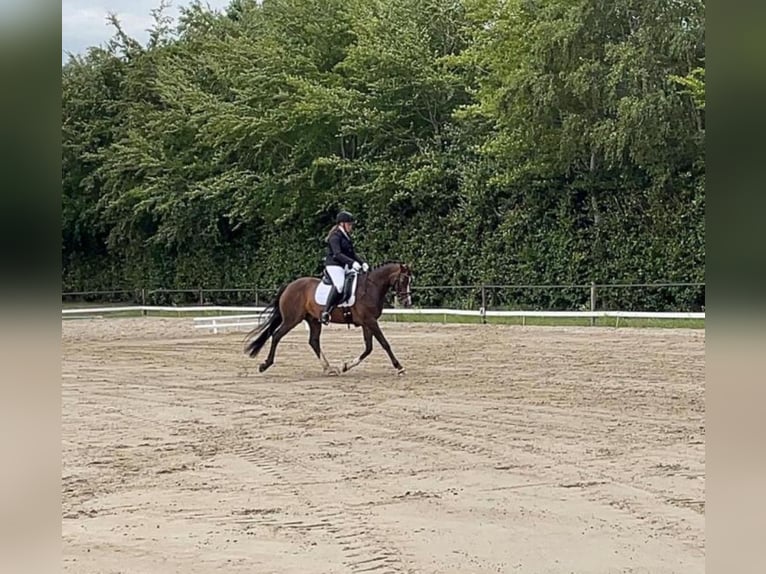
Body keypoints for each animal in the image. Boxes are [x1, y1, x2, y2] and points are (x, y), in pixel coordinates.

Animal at [244, 262, 414, 378]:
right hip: (292, 319)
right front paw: (399, 367)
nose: (407, 302)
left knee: (313, 341)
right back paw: (265, 365)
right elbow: (385, 344)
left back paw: (329, 368)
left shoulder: (367, 323)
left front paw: (345, 366)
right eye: (403, 280)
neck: (371, 288)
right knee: (277, 336)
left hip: (313, 320)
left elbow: (368, 348)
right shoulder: (371, 321)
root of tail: (289, 286)